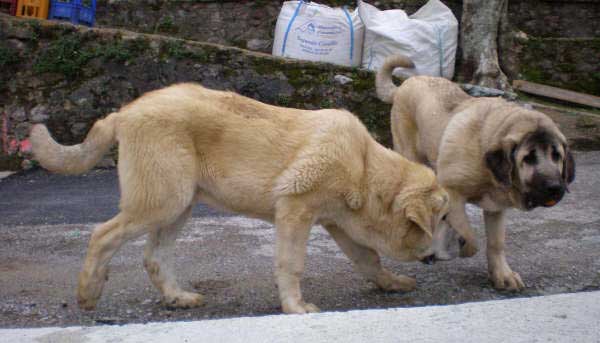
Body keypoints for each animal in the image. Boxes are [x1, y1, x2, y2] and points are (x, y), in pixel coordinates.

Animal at [28, 82, 450, 314]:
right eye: (443, 218)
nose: (461, 248)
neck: (365, 167)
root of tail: (124, 112)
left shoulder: (337, 224)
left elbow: (369, 260)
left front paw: (392, 283)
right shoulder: (295, 212)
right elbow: (292, 264)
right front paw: (295, 307)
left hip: (179, 207)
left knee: (154, 256)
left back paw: (178, 297)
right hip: (162, 201)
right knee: (102, 234)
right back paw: (88, 293)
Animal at [378, 55, 576, 290]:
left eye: (556, 155)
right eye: (527, 158)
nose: (555, 187)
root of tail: (405, 84)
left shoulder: (496, 208)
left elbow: (496, 242)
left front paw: (502, 275)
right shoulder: (452, 192)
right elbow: (468, 234)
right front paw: (458, 247)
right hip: (410, 152)